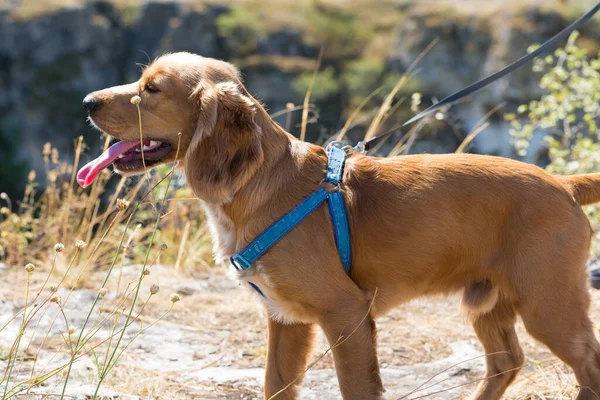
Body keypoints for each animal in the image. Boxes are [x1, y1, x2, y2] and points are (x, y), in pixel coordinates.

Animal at [77, 54, 600, 400]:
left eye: (153, 88)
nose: (86, 101)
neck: (261, 183)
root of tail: (564, 183)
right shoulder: (285, 320)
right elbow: (275, 385)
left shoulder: (346, 312)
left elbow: (355, 389)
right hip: (488, 301)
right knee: (507, 362)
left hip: (548, 302)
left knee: (587, 365)